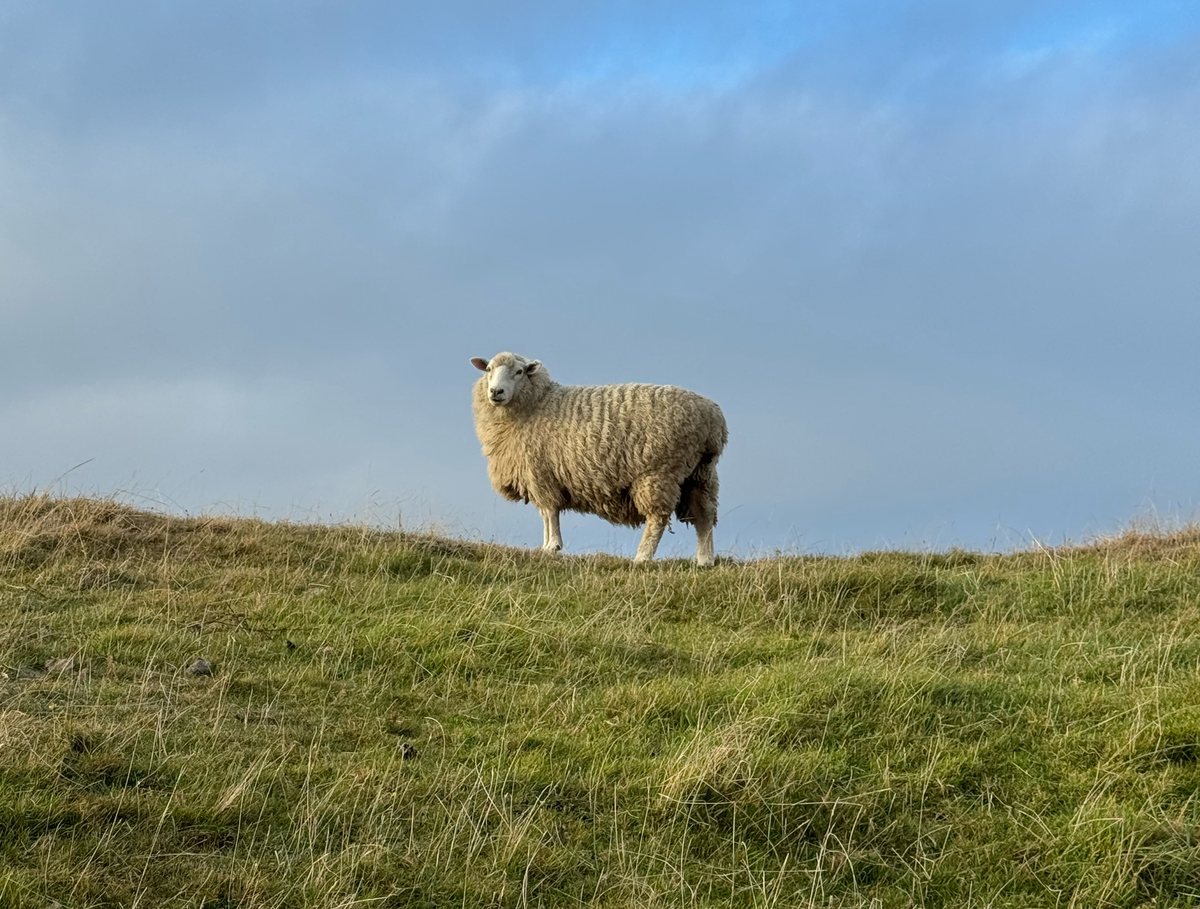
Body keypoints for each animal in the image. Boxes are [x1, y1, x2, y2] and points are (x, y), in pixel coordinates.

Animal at [469, 352, 728, 566]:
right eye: (489, 369)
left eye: (519, 372)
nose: (496, 392)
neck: (537, 402)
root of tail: (712, 419)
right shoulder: (541, 475)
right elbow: (545, 514)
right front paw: (545, 546)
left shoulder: (541, 473)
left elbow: (549, 511)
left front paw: (552, 546)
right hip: (701, 473)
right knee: (704, 515)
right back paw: (704, 560)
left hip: (658, 473)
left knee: (658, 518)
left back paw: (642, 557)